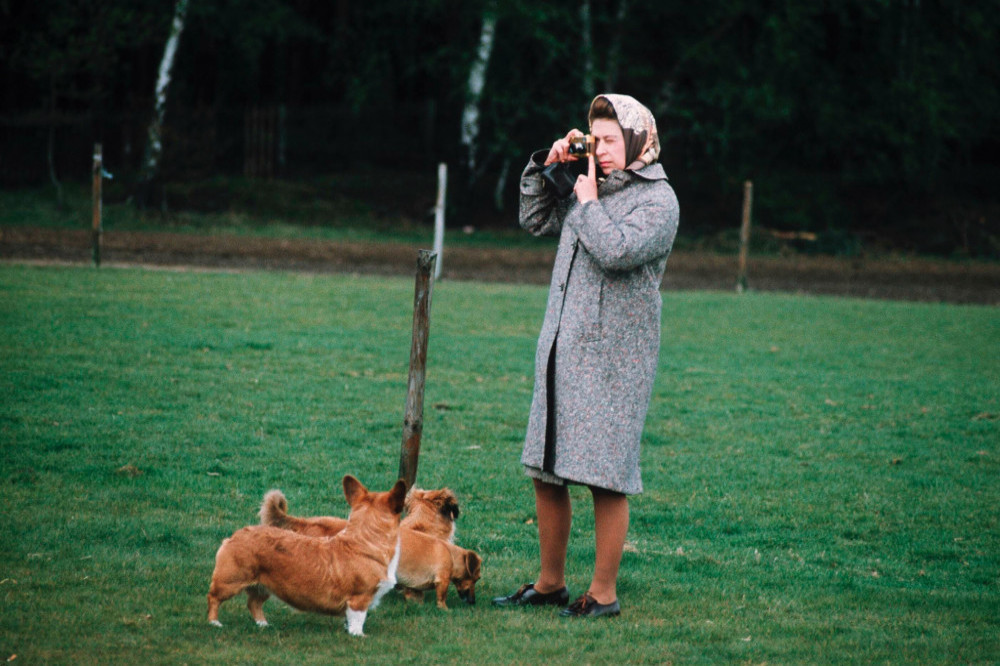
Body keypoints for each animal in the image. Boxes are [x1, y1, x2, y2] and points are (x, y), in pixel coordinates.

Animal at [207, 474, 406, 636]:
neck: (365, 541)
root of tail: (234, 536)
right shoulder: (359, 599)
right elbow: (358, 620)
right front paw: (358, 635)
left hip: (264, 586)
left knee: (253, 603)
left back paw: (263, 624)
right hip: (230, 581)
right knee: (213, 598)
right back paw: (214, 623)